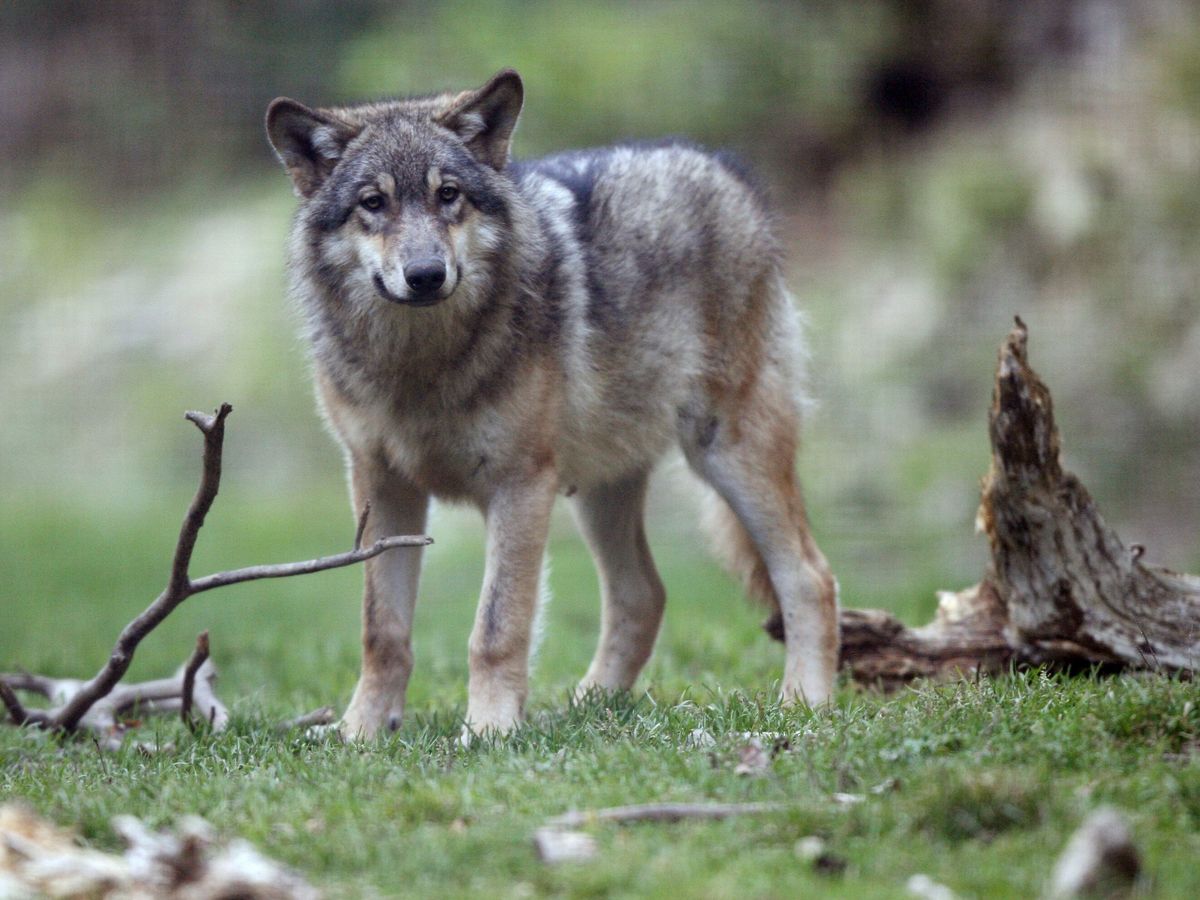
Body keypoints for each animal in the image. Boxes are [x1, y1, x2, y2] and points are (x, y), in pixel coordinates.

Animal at [267, 66, 840, 734]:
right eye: (373, 203)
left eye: (448, 195)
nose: (427, 274)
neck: (421, 365)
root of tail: (723, 166)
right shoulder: (381, 488)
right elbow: (381, 631)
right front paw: (361, 733)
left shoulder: (520, 485)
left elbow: (496, 627)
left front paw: (489, 731)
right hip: (600, 490)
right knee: (644, 595)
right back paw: (586, 707)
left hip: (727, 456)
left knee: (809, 577)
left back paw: (805, 703)